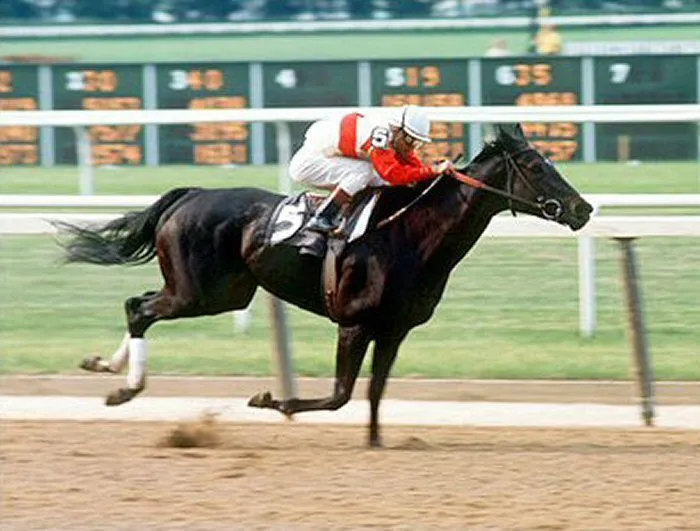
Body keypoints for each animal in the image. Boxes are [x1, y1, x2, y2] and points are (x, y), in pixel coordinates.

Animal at [60, 125, 592, 448]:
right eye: (538, 167)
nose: (584, 209)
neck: (408, 236)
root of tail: (190, 194)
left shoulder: (393, 329)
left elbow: (374, 391)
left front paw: (375, 440)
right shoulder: (353, 323)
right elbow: (339, 394)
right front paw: (271, 401)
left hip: (226, 293)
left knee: (140, 304)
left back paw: (106, 367)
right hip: (199, 293)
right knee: (139, 308)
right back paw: (125, 387)